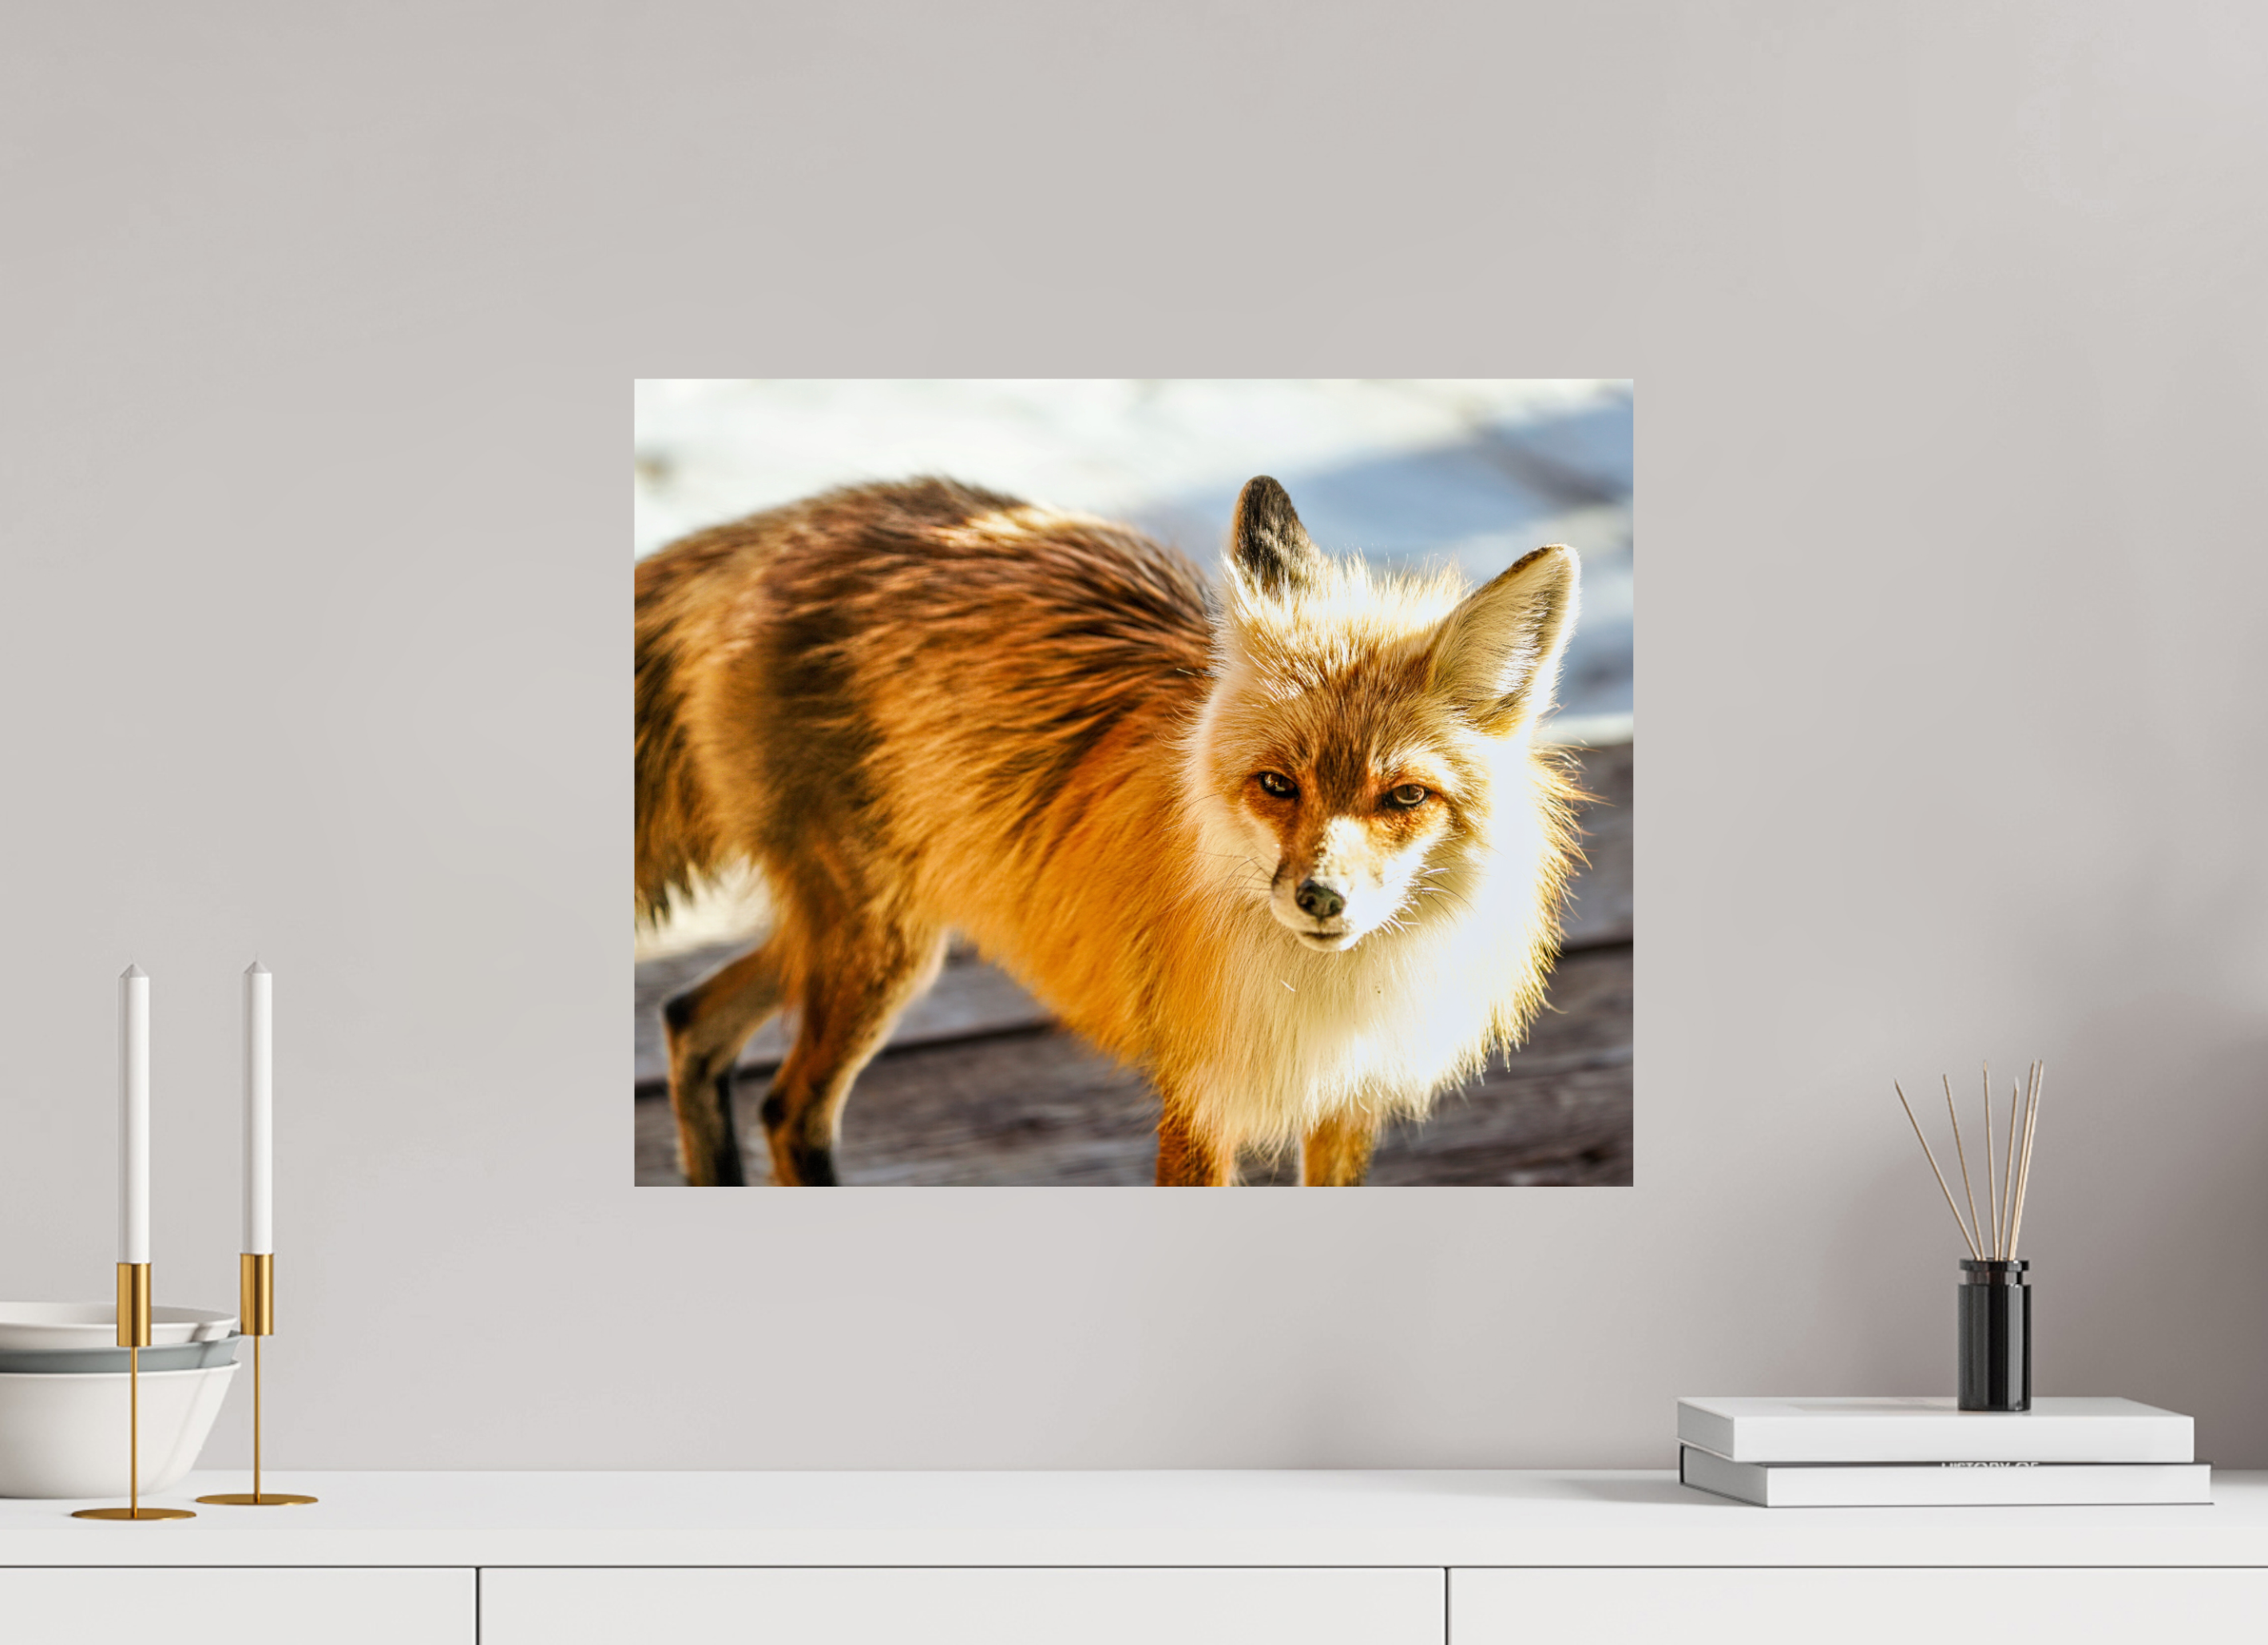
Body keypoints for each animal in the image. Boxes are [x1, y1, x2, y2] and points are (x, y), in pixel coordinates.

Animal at [635, 474, 1582, 1187]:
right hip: (879, 946)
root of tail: (797, 519)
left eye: (1405, 797)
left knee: (689, 1018)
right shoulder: (1199, 1101)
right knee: (787, 1110)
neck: (1329, 997)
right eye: (1277, 785)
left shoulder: (1346, 1106)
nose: (1320, 897)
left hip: (863, 933)